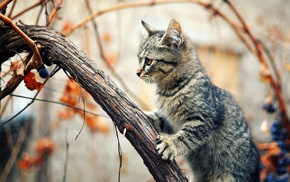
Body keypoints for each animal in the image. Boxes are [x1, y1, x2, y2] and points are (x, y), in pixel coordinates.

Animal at [136, 19, 260, 181]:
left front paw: (171, 145)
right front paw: (147, 115)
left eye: (149, 61)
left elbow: (186, 136)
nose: (137, 73)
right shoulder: (172, 120)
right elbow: (161, 118)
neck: (168, 90)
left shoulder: (204, 118)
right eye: (139, 59)